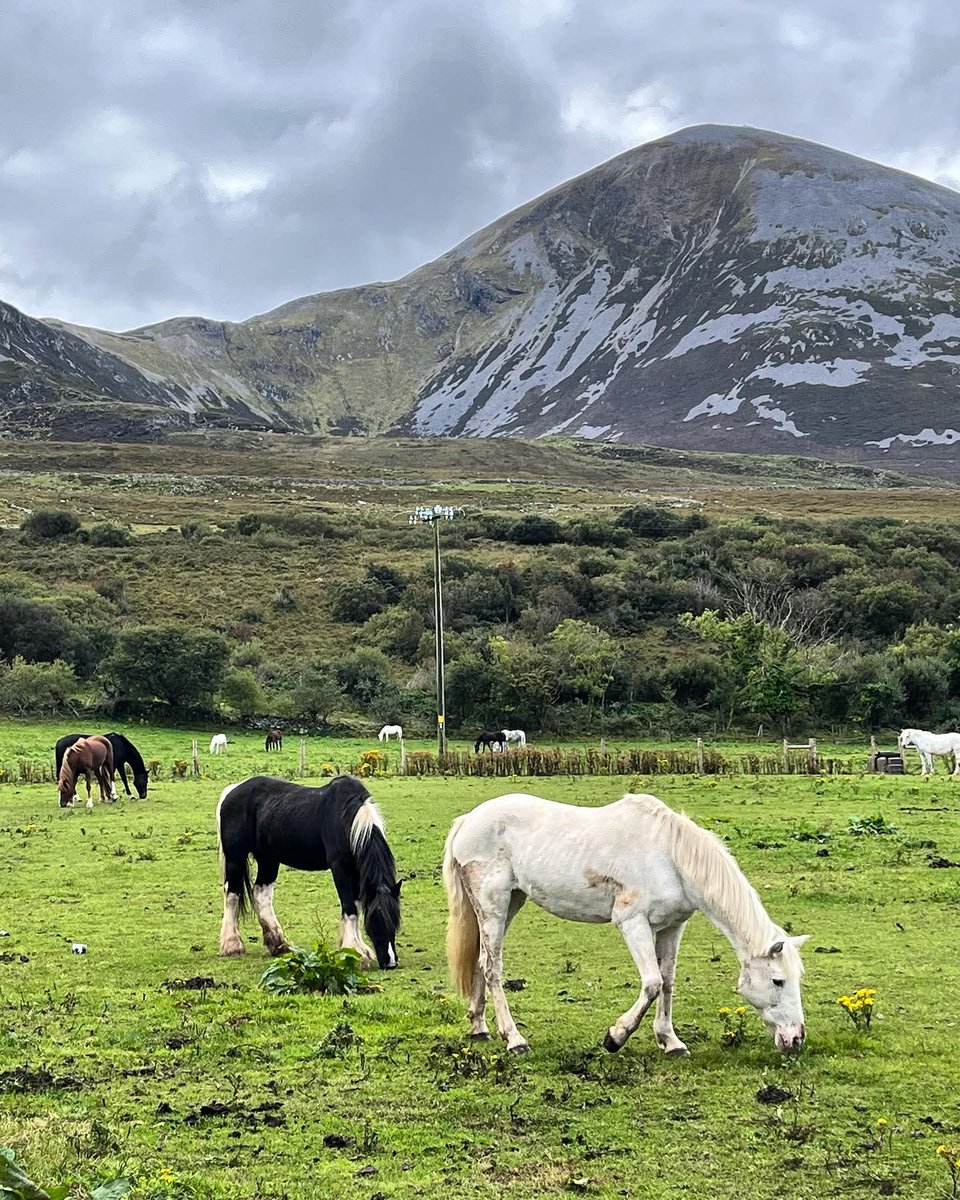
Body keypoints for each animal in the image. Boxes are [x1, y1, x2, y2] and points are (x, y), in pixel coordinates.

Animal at [216, 774, 402, 969]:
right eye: (376, 920)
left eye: (395, 921)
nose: (390, 962)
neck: (348, 819)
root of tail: (232, 791)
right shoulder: (340, 868)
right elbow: (350, 908)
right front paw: (356, 952)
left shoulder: (357, 873)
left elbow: (356, 907)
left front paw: (355, 948)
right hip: (235, 858)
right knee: (232, 894)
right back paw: (232, 945)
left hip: (268, 859)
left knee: (261, 894)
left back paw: (280, 945)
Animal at [443, 791, 808, 1055]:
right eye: (777, 981)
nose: (796, 1039)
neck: (671, 857)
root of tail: (467, 820)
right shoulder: (633, 923)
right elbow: (652, 983)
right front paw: (615, 1037)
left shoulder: (672, 927)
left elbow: (667, 981)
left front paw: (670, 1042)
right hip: (494, 904)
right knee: (492, 967)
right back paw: (514, 1039)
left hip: (511, 903)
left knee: (480, 961)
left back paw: (479, 1028)